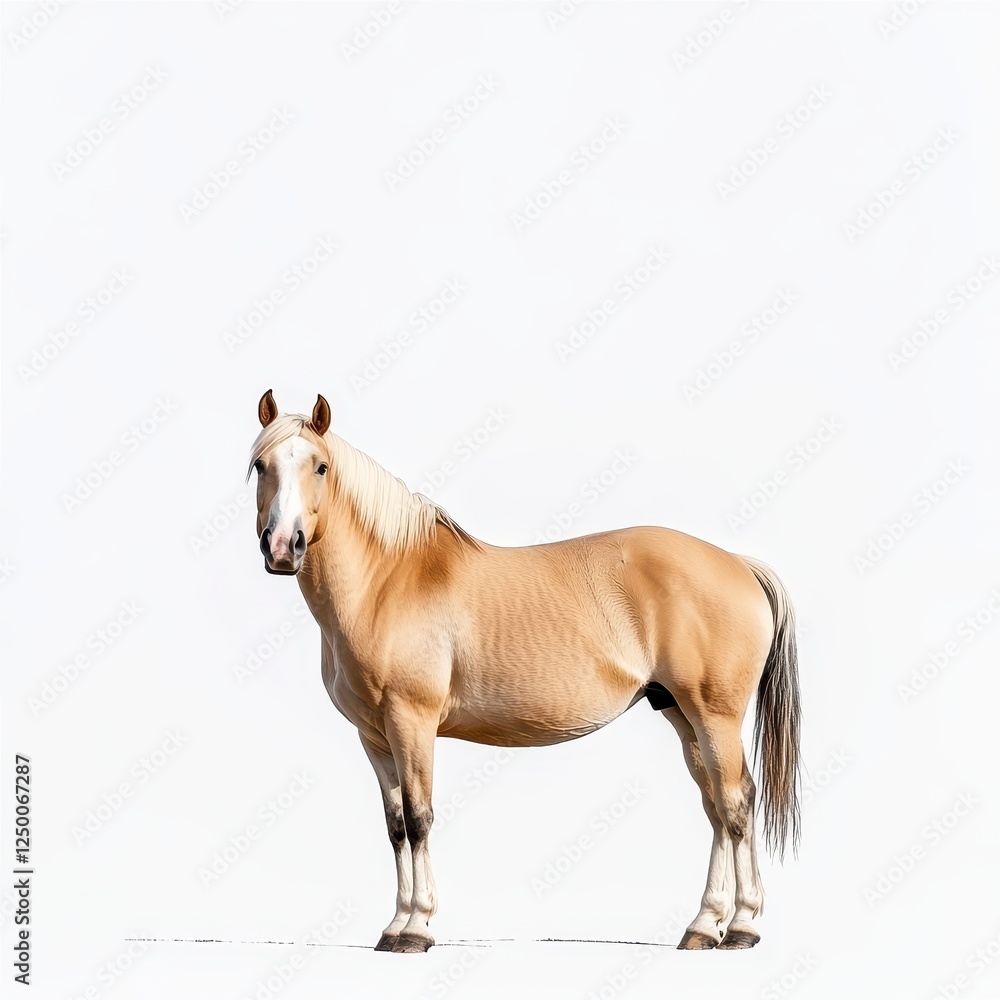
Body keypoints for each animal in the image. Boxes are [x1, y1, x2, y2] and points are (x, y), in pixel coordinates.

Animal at [247, 390, 801, 953]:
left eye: (320, 466)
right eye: (260, 465)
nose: (283, 546)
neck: (388, 578)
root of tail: (738, 563)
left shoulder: (412, 721)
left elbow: (421, 819)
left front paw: (417, 928)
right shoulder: (374, 735)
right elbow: (396, 825)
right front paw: (394, 926)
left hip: (714, 716)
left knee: (735, 803)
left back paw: (742, 926)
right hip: (681, 714)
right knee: (717, 807)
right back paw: (705, 925)